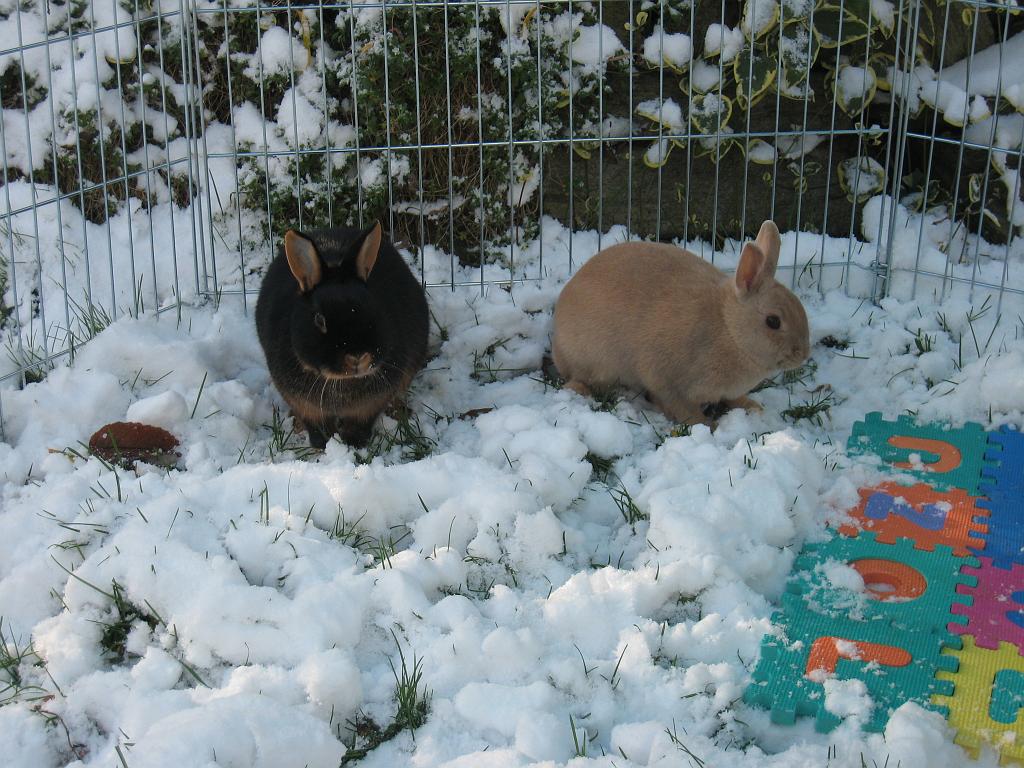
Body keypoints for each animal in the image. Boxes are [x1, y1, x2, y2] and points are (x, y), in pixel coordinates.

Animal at [255, 221, 429, 448]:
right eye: (320, 320)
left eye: (373, 310)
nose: (357, 357)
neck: (339, 381)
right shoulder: (303, 404)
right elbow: (316, 424)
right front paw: (322, 444)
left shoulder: (371, 404)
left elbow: (360, 423)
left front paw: (353, 444)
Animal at [551, 220, 809, 426]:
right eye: (773, 321)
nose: (803, 355)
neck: (729, 328)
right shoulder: (667, 380)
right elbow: (681, 407)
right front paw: (709, 426)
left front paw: (752, 407)